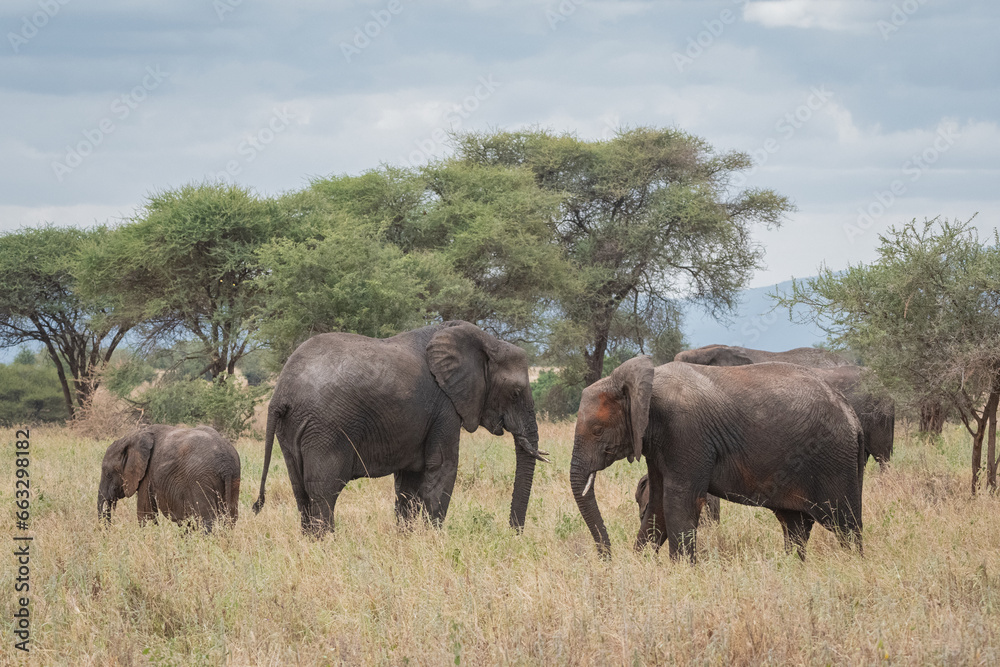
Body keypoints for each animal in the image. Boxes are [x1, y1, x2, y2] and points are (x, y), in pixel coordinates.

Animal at [97, 428, 242, 532]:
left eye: (108, 474)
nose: (106, 534)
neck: (131, 437)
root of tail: (226, 464)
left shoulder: (147, 476)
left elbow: (146, 513)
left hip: (201, 480)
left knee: (206, 520)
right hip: (234, 479)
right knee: (231, 518)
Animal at [250, 320, 548, 536]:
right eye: (515, 393)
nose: (513, 533)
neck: (485, 341)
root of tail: (281, 394)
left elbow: (408, 483)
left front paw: (407, 539)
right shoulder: (444, 407)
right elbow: (443, 467)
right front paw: (433, 541)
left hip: (293, 430)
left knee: (300, 491)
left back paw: (310, 542)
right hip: (325, 429)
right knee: (323, 492)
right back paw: (327, 543)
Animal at [576, 358, 864, 560]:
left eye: (597, 431)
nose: (607, 558)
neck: (644, 385)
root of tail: (852, 415)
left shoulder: (685, 432)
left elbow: (678, 501)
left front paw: (681, 572)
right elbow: (657, 503)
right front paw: (641, 565)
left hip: (834, 461)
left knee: (845, 524)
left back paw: (852, 564)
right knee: (795, 526)